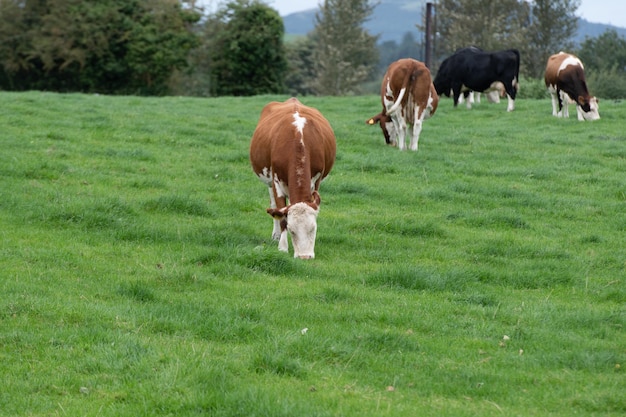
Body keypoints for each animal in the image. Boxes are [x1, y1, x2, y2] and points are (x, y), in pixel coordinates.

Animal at [249, 98, 336, 258]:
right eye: (292, 230)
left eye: (313, 228)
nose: (305, 257)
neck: (298, 139)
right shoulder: (276, 182)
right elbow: (281, 215)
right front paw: (282, 246)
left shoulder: (316, 181)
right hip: (269, 182)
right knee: (274, 206)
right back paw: (276, 235)